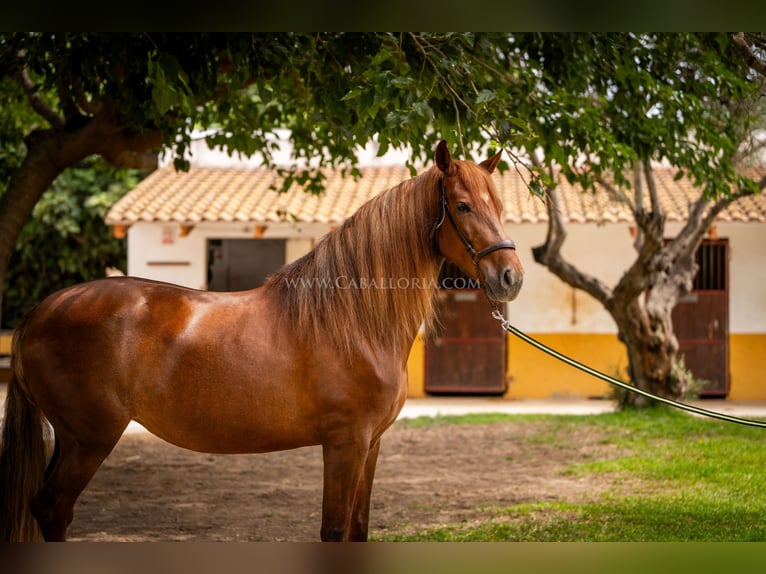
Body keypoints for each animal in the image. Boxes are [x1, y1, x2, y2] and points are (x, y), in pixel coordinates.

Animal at [0, 142, 520, 544]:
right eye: (463, 206)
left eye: (499, 207)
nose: (510, 277)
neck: (354, 321)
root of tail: (41, 311)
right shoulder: (345, 444)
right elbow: (334, 530)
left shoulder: (370, 445)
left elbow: (357, 530)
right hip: (89, 439)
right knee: (54, 509)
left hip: (69, 440)